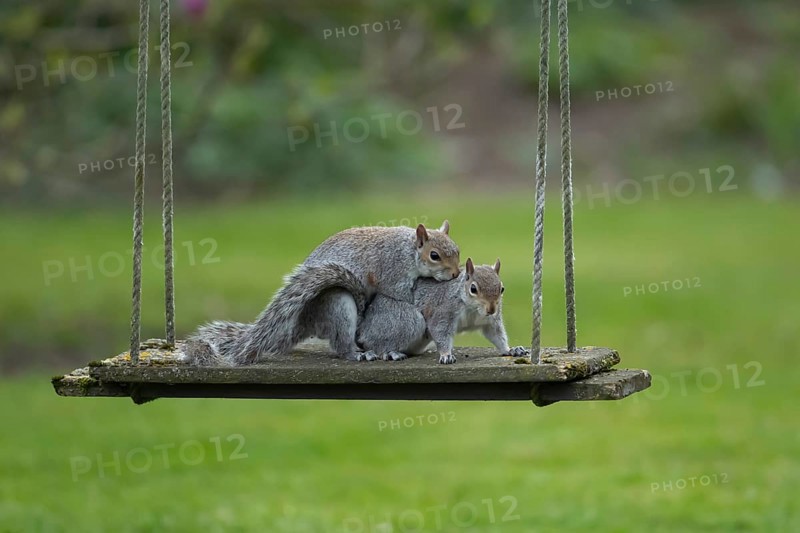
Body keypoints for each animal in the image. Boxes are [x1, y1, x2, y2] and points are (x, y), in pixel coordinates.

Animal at [185, 221, 461, 365]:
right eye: (434, 255)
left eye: (457, 250)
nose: (456, 273)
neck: (407, 251)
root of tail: (304, 321)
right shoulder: (392, 275)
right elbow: (403, 295)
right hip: (337, 304)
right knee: (341, 344)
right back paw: (358, 352)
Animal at [355, 258, 529, 364]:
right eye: (473, 289)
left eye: (502, 288)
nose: (491, 309)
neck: (473, 309)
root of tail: (364, 328)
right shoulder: (444, 311)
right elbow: (440, 331)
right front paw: (446, 355)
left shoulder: (490, 322)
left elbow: (496, 335)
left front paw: (511, 350)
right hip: (402, 321)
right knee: (375, 343)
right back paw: (389, 353)